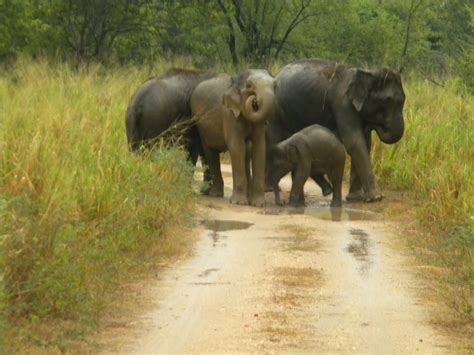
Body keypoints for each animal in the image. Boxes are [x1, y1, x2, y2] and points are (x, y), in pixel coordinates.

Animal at [191, 69, 276, 207]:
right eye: (249, 85)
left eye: (275, 85)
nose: (254, 100)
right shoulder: (228, 113)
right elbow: (237, 147)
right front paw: (239, 202)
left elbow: (259, 148)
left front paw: (258, 204)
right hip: (200, 125)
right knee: (209, 152)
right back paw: (215, 194)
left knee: (247, 150)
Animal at [268, 58, 406, 203]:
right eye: (386, 101)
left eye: (404, 98)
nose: (376, 125)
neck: (368, 73)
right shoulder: (343, 104)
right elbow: (355, 142)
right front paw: (376, 197)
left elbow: (365, 143)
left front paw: (356, 198)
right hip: (276, 111)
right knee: (275, 139)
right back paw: (271, 189)